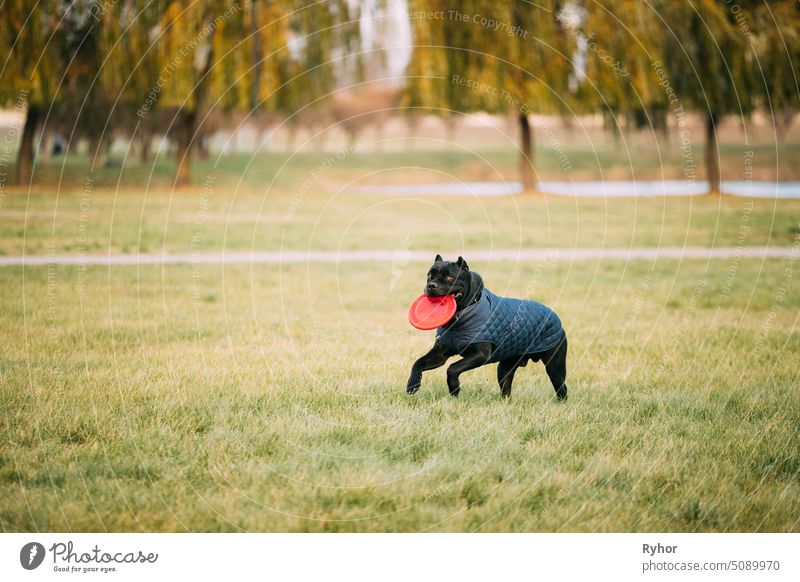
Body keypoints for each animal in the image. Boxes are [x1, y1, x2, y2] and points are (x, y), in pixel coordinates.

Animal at [406, 256, 568, 402]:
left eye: (450, 277)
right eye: (429, 275)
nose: (432, 285)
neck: (459, 317)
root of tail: (555, 316)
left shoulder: (480, 355)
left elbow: (452, 368)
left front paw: (454, 388)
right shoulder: (439, 354)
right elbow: (418, 363)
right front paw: (412, 385)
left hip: (554, 366)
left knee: (561, 387)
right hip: (505, 368)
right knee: (506, 387)